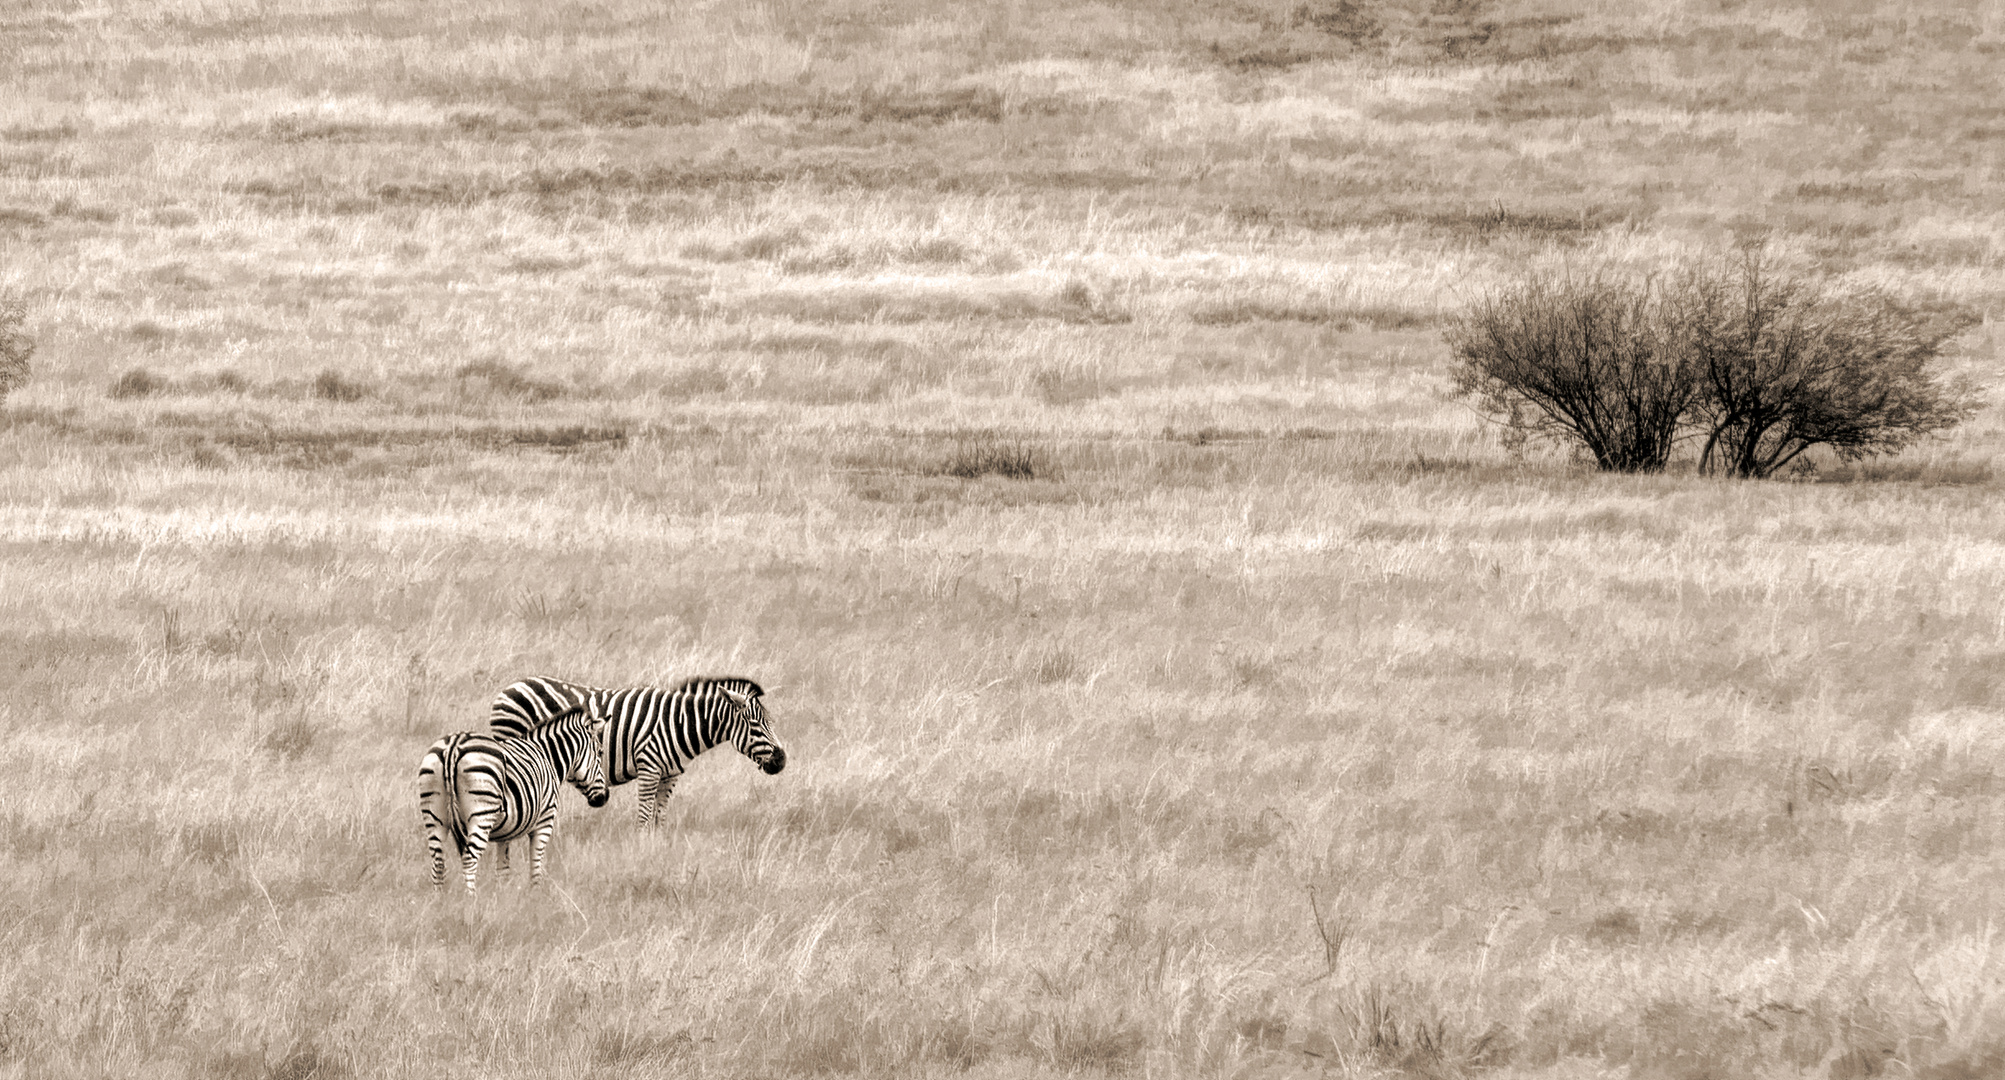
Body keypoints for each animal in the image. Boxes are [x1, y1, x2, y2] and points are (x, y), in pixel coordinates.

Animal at [417, 701, 605, 897]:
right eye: (600, 753)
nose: (603, 798)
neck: (548, 758)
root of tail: (453, 746)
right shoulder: (545, 821)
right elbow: (536, 864)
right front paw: (535, 895)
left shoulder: (505, 831)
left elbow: (503, 868)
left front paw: (503, 896)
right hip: (482, 814)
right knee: (469, 860)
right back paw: (471, 899)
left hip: (434, 814)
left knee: (438, 863)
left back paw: (439, 899)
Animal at [489, 677, 785, 829]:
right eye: (756, 725)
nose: (782, 761)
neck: (680, 723)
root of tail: (509, 688)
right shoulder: (649, 768)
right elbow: (644, 816)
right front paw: (642, 850)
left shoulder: (671, 774)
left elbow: (659, 816)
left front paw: (658, 847)